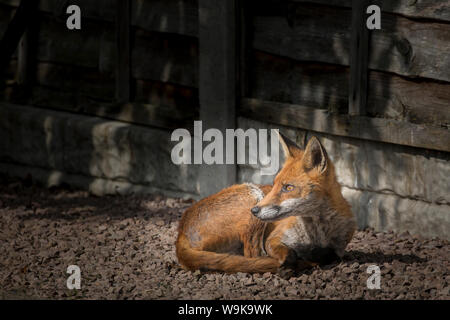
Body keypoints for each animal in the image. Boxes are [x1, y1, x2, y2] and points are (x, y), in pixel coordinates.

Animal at [176, 134, 356, 274]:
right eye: (274, 184)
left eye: (288, 187)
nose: (254, 211)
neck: (316, 234)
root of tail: (181, 230)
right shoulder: (272, 240)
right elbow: (289, 253)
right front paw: (288, 265)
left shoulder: (339, 247)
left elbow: (332, 254)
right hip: (253, 197)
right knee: (252, 255)